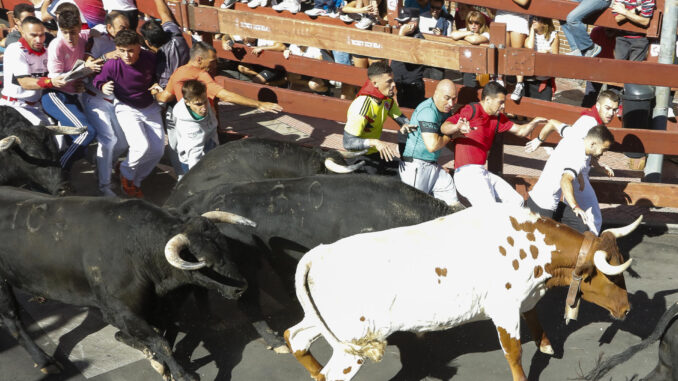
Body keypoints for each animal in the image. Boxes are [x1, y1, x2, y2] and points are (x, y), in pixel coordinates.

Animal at [0, 188, 252, 380]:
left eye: (226, 246)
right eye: (203, 261)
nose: (241, 287)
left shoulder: (157, 310)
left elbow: (164, 333)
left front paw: (159, 362)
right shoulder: (120, 311)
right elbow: (160, 342)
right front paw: (181, 373)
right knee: (13, 319)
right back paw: (45, 361)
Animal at [286, 205, 644, 380]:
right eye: (611, 275)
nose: (628, 309)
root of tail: (318, 253)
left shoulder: (524, 299)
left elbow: (535, 320)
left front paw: (545, 344)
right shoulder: (504, 308)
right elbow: (514, 353)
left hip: (330, 327)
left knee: (295, 337)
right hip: (355, 344)